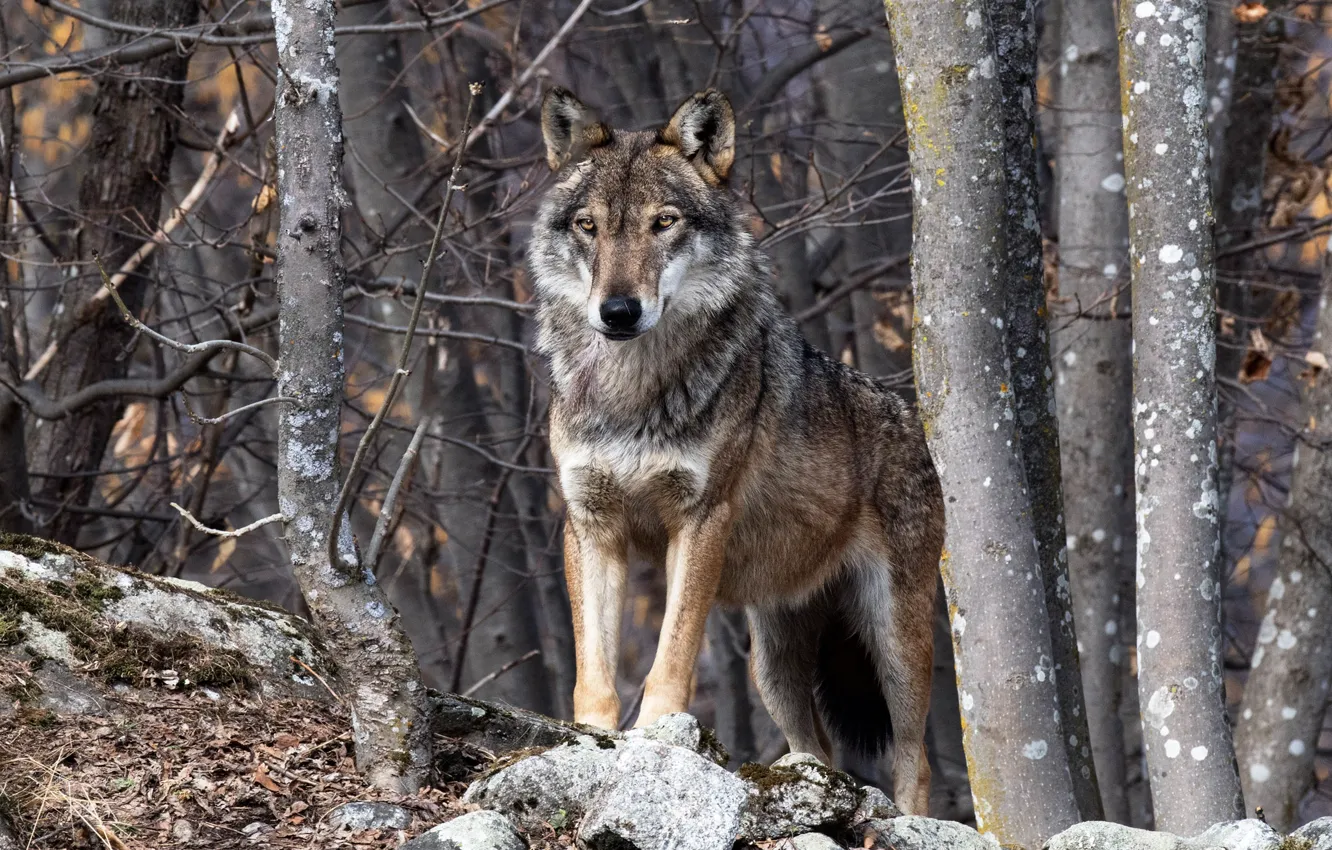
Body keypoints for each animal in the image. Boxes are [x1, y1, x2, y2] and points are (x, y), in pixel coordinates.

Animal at [530, 87, 948, 820]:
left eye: (664, 223)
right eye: (588, 226)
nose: (618, 310)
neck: (630, 390)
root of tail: (910, 421)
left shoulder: (702, 519)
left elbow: (672, 655)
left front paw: (659, 741)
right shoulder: (588, 524)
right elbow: (594, 668)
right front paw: (591, 738)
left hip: (895, 642)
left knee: (913, 759)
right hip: (772, 665)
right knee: (819, 751)